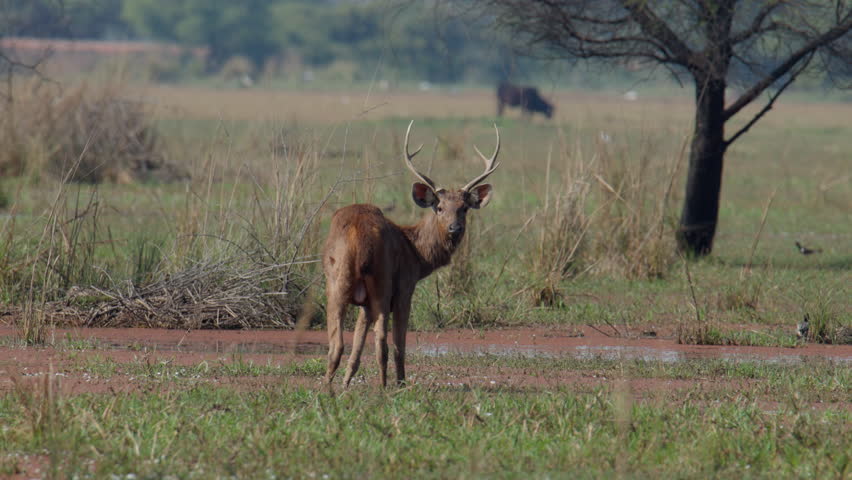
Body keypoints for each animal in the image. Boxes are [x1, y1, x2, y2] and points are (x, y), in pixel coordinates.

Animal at [322, 120, 500, 387]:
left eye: (464, 208)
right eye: (439, 207)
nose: (454, 228)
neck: (416, 252)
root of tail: (358, 237)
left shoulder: (364, 304)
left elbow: (357, 347)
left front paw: (346, 383)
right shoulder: (405, 287)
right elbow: (399, 344)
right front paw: (401, 382)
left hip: (336, 280)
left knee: (336, 344)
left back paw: (327, 387)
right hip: (383, 281)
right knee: (382, 343)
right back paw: (386, 386)